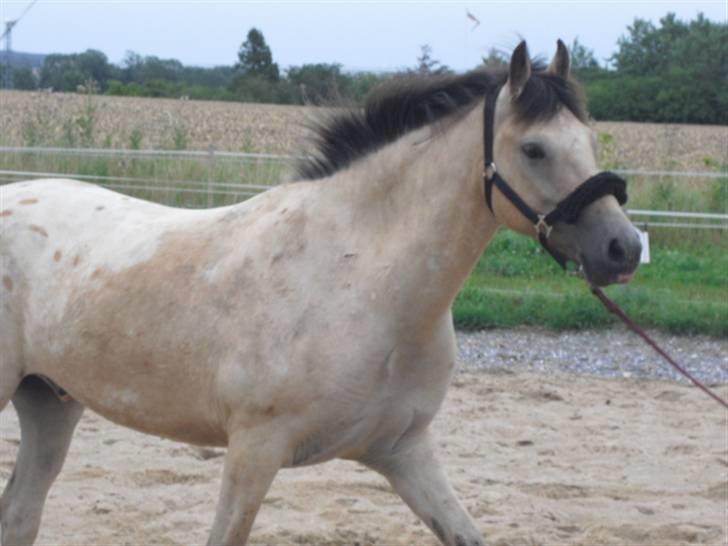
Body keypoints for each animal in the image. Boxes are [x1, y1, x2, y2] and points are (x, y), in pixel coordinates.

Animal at [0, 41, 636, 544]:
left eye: (590, 140)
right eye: (534, 149)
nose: (623, 248)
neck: (361, 281)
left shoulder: (406, 451)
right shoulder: (254, 451)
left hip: (51, 403)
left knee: (21, 514)